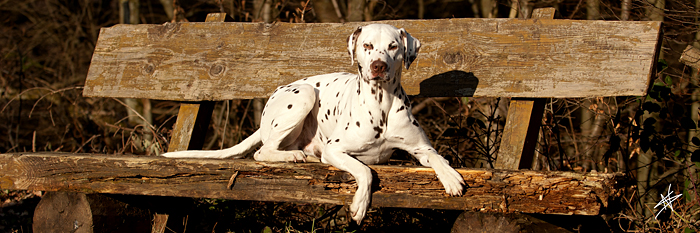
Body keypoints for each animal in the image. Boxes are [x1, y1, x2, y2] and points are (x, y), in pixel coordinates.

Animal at [163, 24, 464, 224]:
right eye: (366, 46)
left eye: (393, 46)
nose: (378, 66)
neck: (382, 104)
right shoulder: (334, 151)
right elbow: (365, 171)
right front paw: (359, 203)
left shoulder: (422, 148)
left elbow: (438, 158)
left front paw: (451, 177)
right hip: (305, 95)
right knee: (263, 151)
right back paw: (292, 156)